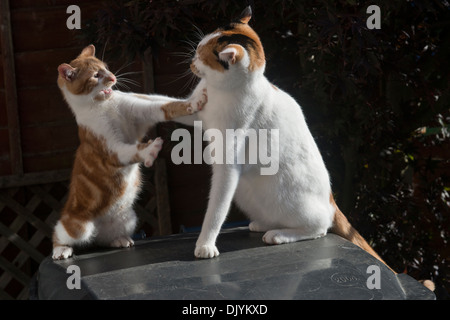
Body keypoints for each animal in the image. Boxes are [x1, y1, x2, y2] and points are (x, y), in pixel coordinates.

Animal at [52, 45, 206, 260]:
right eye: (96, 75)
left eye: (106, 67)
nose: (113, 77)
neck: (105, 104)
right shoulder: (112, 148)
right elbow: (131, 151)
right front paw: (150, 150)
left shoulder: (141, 109)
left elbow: (166, 104)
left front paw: (193, 103)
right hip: (78, 226)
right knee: (60, 234)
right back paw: (61, 250)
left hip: (129, 219)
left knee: (103, 239)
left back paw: (118, 239)